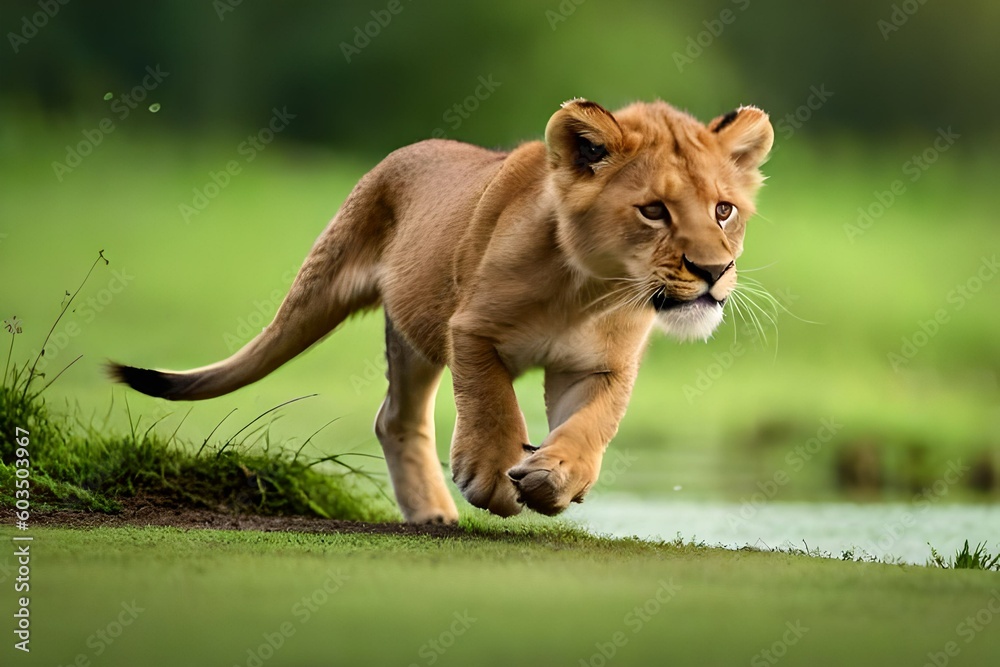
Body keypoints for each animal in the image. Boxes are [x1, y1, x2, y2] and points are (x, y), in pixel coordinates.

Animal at [110, 98, 774, 523]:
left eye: (723, 210)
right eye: (653, 211)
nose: (713, 272)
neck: (590, 290)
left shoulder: (599, 366)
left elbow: (592, 424)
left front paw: (555, 477)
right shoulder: (469, 330)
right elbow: (491, 400)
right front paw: (492, 476)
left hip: (411, 336)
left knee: (394, 418)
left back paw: (432, 513)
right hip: (334, 292)